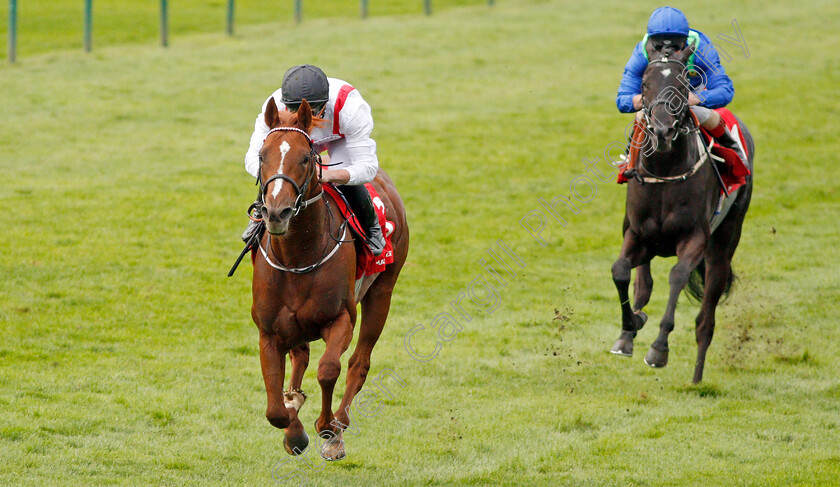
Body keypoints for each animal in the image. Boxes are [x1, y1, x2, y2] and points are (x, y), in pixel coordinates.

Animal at [251, 98, 408, 462]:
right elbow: (276, 410)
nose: (276, 213)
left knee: (359, 362)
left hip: (382, 292)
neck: (297, 258)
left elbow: (329, 370)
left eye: (305, 158)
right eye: (263, 155)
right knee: (301, 356)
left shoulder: (341, 319)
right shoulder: (269, 331)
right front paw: (294, 429)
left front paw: (327, 428)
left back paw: (339, 426)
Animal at [612, 44, 756, 386]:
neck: (666, 171)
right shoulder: (637, 234)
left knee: (706, 320)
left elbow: (677, 276)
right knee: (643, 283)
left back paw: (697, 377)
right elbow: (621, 271)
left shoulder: (694, 238)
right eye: (644, 84)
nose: (662, 132)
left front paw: (658, 349)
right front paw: (630, 326)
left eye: (682, 84)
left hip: (724, 244)